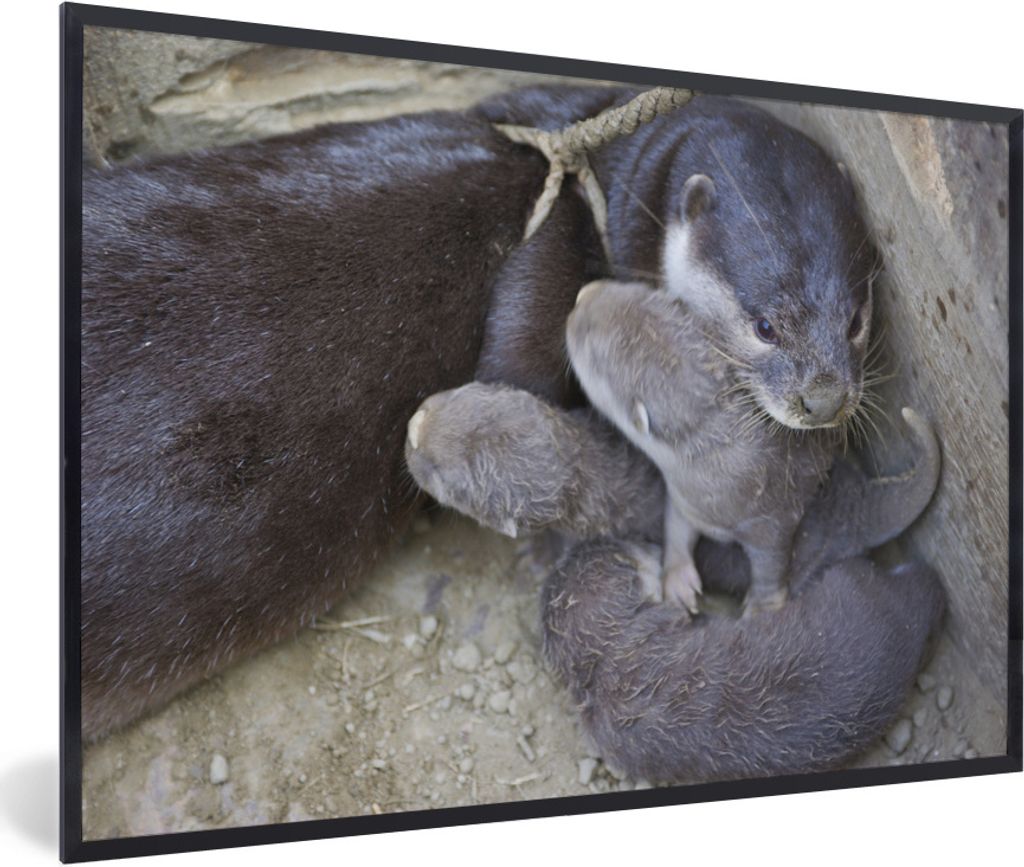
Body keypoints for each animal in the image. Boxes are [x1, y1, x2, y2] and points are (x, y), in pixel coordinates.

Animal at [403, 379, 943, 782]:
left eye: (448, 480)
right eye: (469, 393)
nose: (415, 423)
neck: (601, 476)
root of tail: (848, 510)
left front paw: (538, 556)